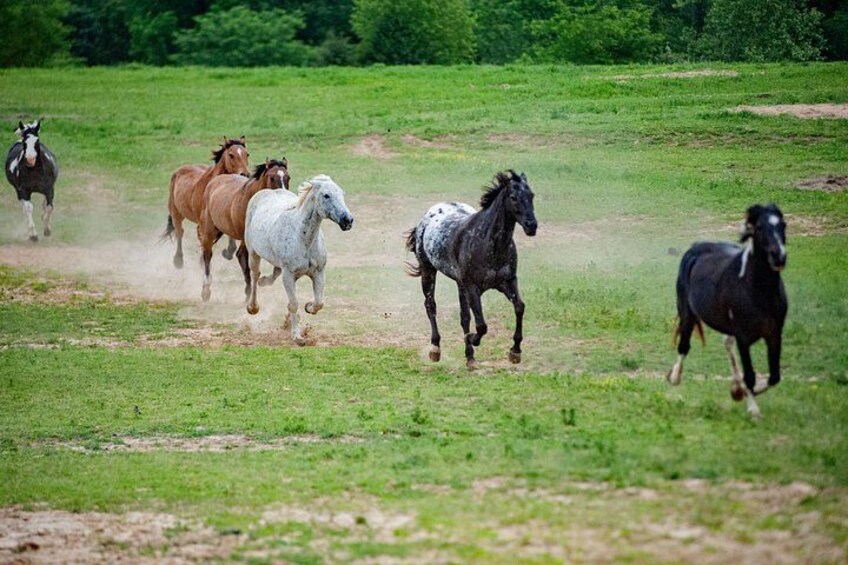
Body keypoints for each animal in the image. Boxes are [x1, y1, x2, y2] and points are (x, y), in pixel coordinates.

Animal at [162, 136, 249, 269]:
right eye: (231, 155)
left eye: (247, 154)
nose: (245, 174)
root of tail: (178, 171)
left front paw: (227, 252)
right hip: (176, 213)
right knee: (180, 232)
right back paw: (178, 260)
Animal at [198, 158, 290, 302]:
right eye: (272, 177)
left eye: (288, 177)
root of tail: (214, 182)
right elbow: (244, 260)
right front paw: (249, 293)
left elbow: (278, 268)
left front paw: (264, 281)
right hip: (209, 230)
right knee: (208, 255)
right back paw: (206, 291)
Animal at [244, 175, 354, 345]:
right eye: (326, 195)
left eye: (342, 193)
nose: (347, 220)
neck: (303, 239)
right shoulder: (288, 275)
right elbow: (294, 304)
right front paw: (297, 337)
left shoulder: (318, 273)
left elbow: (319, 302)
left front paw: (308, 307)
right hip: (253, 253)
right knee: (255, 276)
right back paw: (253, 307)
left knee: (273, 273)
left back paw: (265, 282)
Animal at [405, 170, 537, 369]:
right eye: (513, 197)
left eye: (531, 195)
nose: (532, 226)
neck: (489, 245)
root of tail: (426, 218)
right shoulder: (473, 288)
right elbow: (481, 325)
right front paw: (473, 339)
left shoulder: (508, 282)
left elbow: (519, 307)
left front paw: (515, 351)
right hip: (429, 272)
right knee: (431, 306)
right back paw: (435, 349)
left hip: (460, 285)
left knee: (464, 317)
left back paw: (469, 357)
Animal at [668, 203, 788, 419]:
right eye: (759, 227)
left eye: (783, 225)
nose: (779, 257)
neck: (759, 291)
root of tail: (697, 246)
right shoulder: (743, 337)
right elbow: (750, 375)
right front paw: (754, 410)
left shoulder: (775, 334)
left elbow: (774, 376)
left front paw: (748, 392)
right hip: (687, 313)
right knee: (684, 345)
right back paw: (675, 377)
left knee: (727, 344)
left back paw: (736, 388)